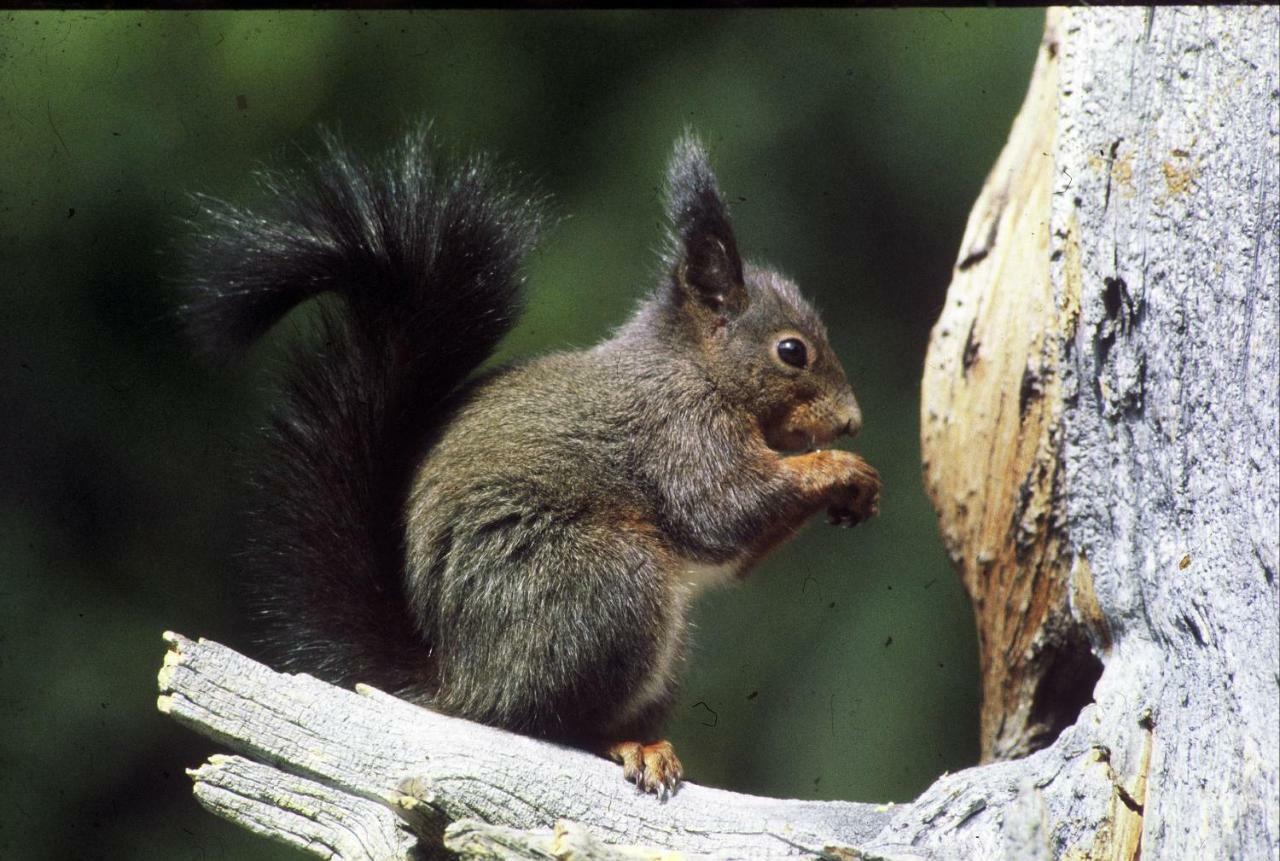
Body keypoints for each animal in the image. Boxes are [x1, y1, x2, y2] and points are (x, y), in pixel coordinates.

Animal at [183, 129, 880, 798]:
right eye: (792, 351)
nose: (851, 421)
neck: (693, 365)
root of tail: (462, 684)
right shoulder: (679, 430)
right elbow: (725, 508)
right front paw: (844, 468)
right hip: (602, 585)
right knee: (550, 723)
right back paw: (627, 745)